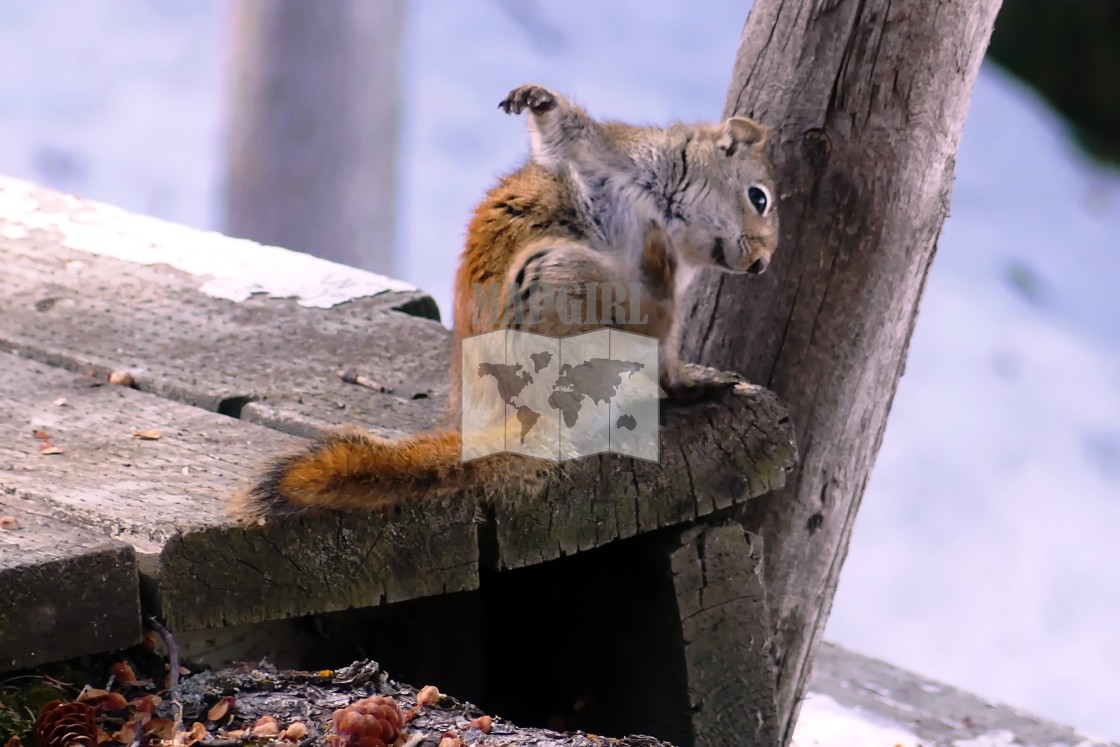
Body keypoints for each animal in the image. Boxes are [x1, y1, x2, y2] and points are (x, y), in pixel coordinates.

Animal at [229, 84, 779, 524]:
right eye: (759, 197)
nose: (761, 265)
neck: (669, 217)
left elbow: (671, 357)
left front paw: (689, 380)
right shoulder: (610, 155)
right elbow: (566, 134)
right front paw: (537, 99)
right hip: (564, 281)